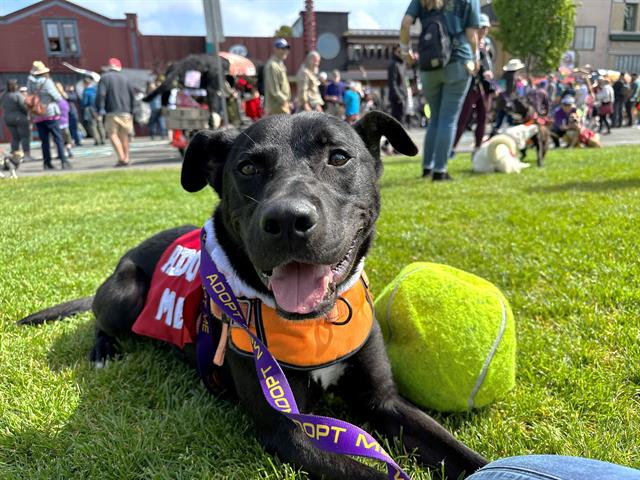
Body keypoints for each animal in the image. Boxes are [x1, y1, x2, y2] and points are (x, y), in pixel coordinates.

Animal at [20, 111, 488, 480]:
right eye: (246, 168)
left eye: (338, 157)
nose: (287, 220)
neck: (315, 324)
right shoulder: (290, 430)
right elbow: (367, 474)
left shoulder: (384, 401)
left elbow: (462, 454)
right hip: (125, 292)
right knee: (100, 322)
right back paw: (102, 352)